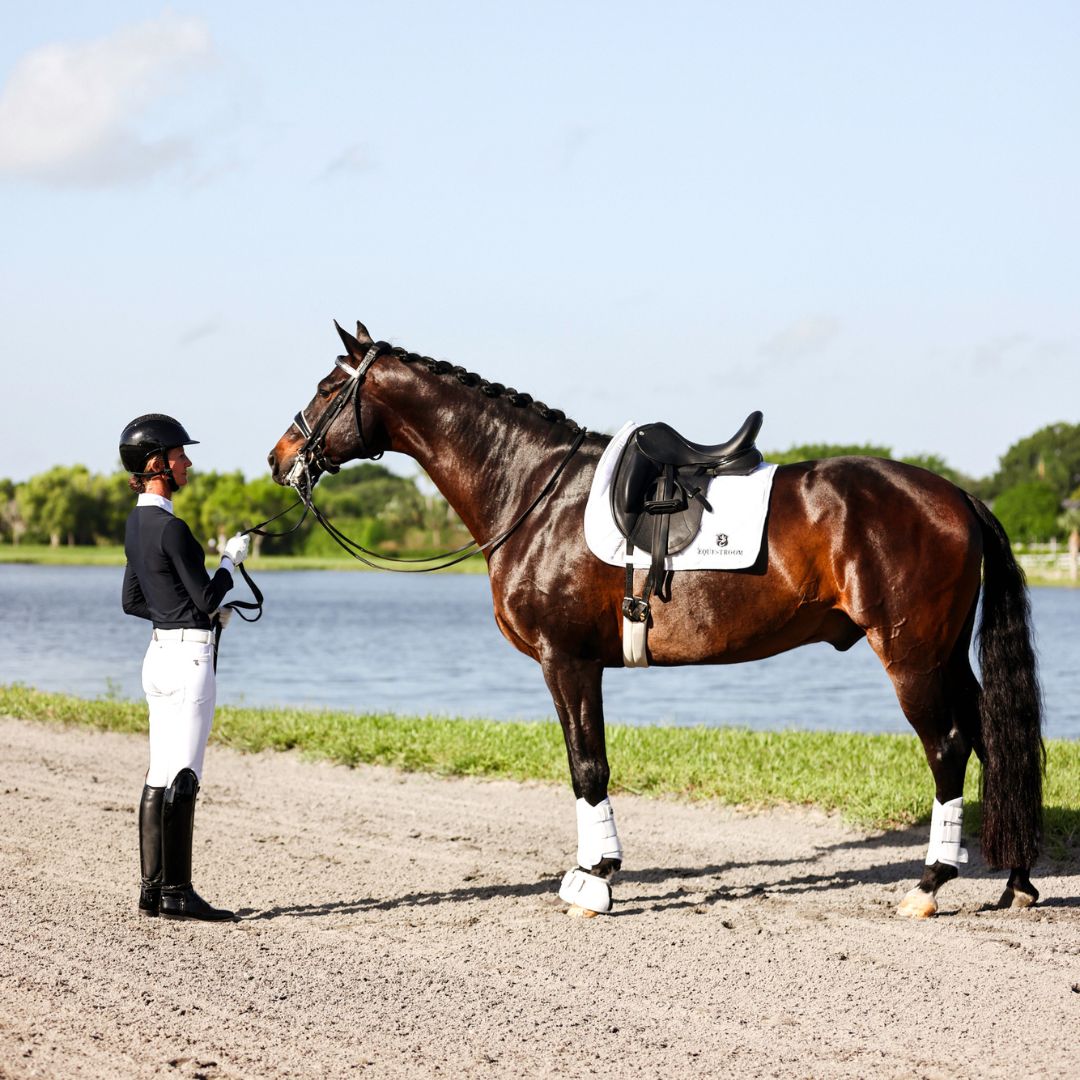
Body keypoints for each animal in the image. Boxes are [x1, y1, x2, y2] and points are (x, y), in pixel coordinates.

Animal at [267, 319, 1044, 919]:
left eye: (329, 387)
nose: (280, 457)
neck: (534, 492)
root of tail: (957, 496)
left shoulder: (567, 660)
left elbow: (587, 764)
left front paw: (594, 881)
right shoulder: (575, 664)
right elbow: (584, 763)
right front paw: (596, 870)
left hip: (912, 656)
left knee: (948, 747)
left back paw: (930, 884)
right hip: (946, 654)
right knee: (991, 739)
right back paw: (1017, 878)